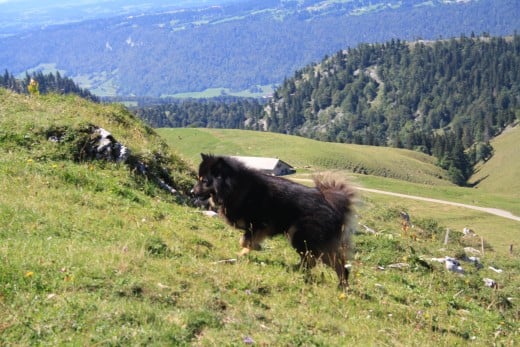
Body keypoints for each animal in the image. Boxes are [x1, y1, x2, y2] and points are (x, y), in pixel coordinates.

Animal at [192, 155, 358, 288]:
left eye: (204, 181)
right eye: (198, 179)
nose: (192, 192)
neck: (236, 188)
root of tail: (333, 204)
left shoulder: (260, 224)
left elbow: (244, 241)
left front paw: (254, 248)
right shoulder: (257, 228)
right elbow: (245, 241)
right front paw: (247, 251)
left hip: (300, 236)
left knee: (314, 260)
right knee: (333, 262)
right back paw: (341, 284)